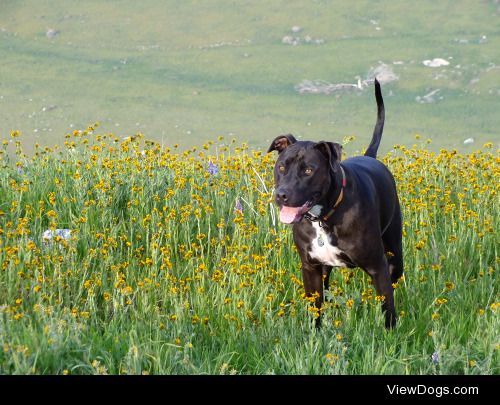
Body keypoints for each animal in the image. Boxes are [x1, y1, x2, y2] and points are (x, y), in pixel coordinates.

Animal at [270, 79, 402, 328]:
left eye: (308, 170)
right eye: (281, 166)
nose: (282, 195)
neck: (323, 217)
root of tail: (370, 156)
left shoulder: (378, 266)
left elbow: (387, 307)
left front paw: (391, 334)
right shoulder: (311, 268)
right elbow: (315, 308)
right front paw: (314, 332)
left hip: (395, 254)